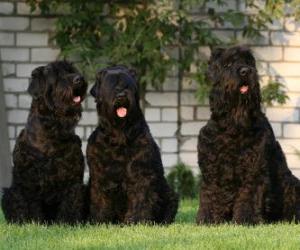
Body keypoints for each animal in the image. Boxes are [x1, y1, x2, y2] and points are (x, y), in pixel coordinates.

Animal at [1, 61, 88, 225]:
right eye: (56, 74)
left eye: (71, 70)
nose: (79, 79)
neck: (52, 128)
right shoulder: (30, 179)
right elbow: (32, 204)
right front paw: (35, 223)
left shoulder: (73, 177)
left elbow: (71, 201)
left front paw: (68, 223)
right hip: (9, 193)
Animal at [86, 65, 178, 224]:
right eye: (110, 84)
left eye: (127, 84)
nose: (121, 95)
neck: (119, 135)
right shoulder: (100, 175)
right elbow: (100, 200)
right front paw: (99, 221)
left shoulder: (141, 173)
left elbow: (141, 198)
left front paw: (137, 221)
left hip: (170, 194)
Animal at [197, 46, 300, 225]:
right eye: (228, 64)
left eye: (248, 61)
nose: (245, 71)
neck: (234, 125)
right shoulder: (212, 170)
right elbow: (211, 194)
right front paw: (207, 219)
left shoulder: (254, 169)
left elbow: (249, 196)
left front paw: (246, 219)